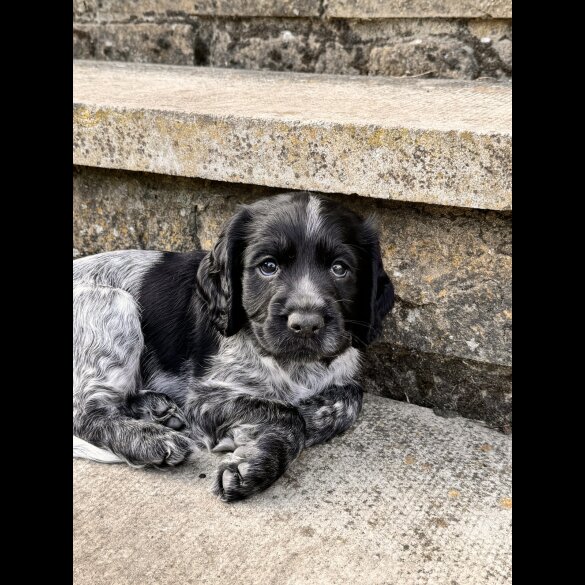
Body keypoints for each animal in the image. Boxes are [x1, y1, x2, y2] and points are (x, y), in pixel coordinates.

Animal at [73, 189, 392, 500]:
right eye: (268, 266)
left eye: (340, 269)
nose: (306, 324)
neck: (293, 365)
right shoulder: (204, 397)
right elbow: (286, 413)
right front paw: (256, 459)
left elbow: (347, 397)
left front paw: (259, 453)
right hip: (114, 305)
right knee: (86, 414)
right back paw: (150, 440)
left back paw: (154, 408)